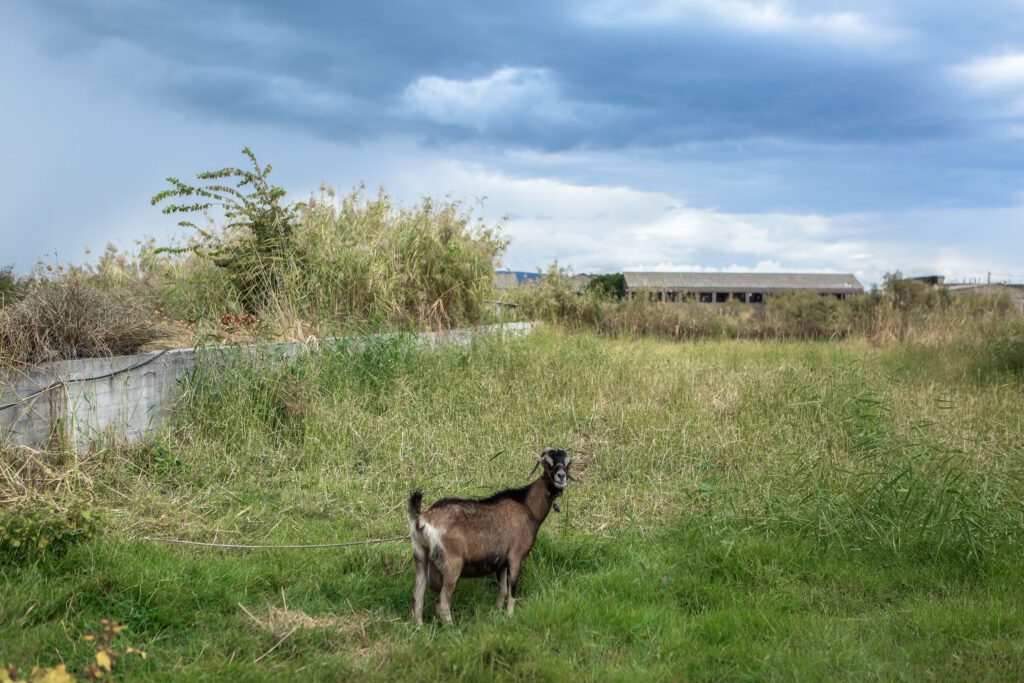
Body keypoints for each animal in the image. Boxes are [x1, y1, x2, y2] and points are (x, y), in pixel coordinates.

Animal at [403, 448, 573, 626]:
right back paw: (452, 628)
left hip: (420, 558)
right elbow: (512, 590)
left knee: (417, 599)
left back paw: (420, 627)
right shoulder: (516, 556)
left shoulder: (502, 562)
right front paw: (510, 617)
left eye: (568, 463)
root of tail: (421, 519)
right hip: (452, 564)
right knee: (442, 602)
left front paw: (497, 615)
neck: (527, 506)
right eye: (547, 463)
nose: (561, 476)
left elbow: (502, 591)